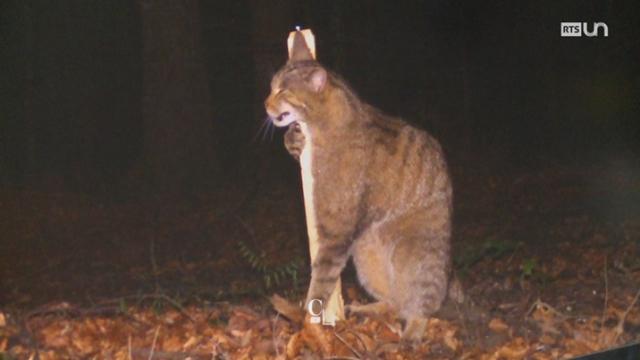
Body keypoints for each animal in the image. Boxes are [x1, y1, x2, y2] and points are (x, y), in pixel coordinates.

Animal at [262, 31, 462, 340]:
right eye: (272, 87)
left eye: (283, 91)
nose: (265, 103)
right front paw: (293, 138)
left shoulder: (336, 230)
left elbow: (320, 281)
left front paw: (307, 320)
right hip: (366, 255)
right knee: (394, 302)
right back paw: (367, 310)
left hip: (414, 256)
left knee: (421, 303)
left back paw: (412, 331)